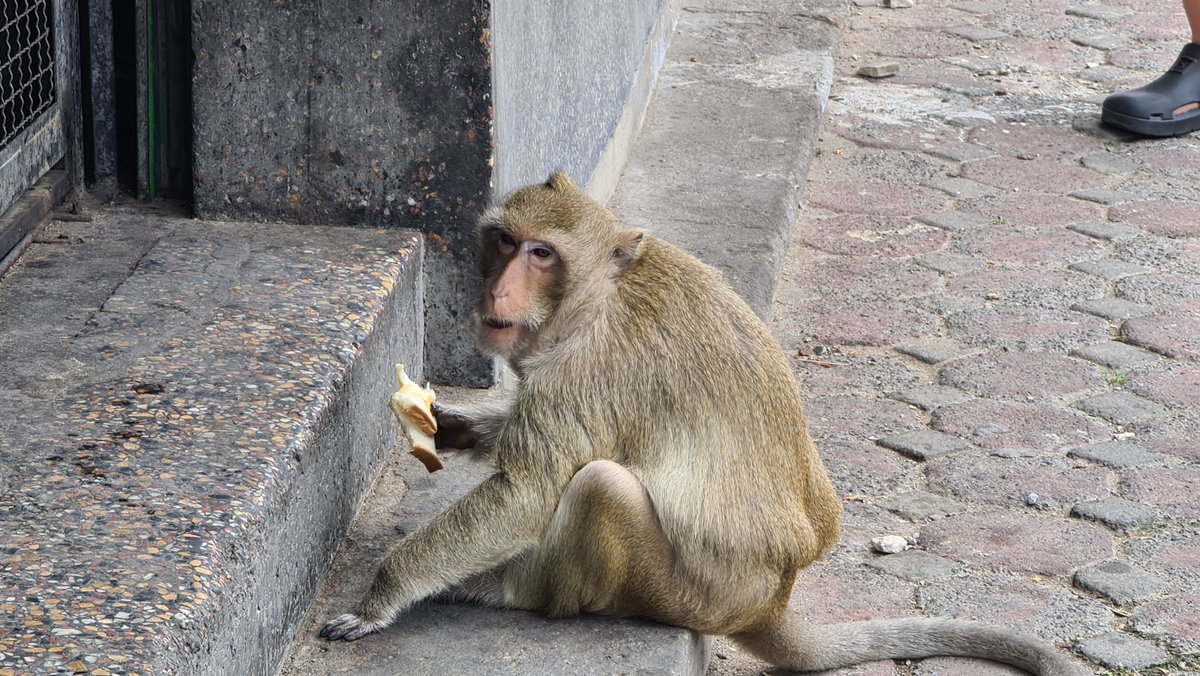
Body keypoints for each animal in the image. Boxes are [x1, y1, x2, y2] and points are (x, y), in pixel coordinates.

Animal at [320, 172, 1083, 676]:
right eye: (505, 241)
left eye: (542, 254)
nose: (498, 290)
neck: (600, 297)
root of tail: (767, 605)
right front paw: (451, 424)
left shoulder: (587, 373)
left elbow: (528, 493)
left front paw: (385, 593)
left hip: (680, 594)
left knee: (599, 486)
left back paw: (508, 589)